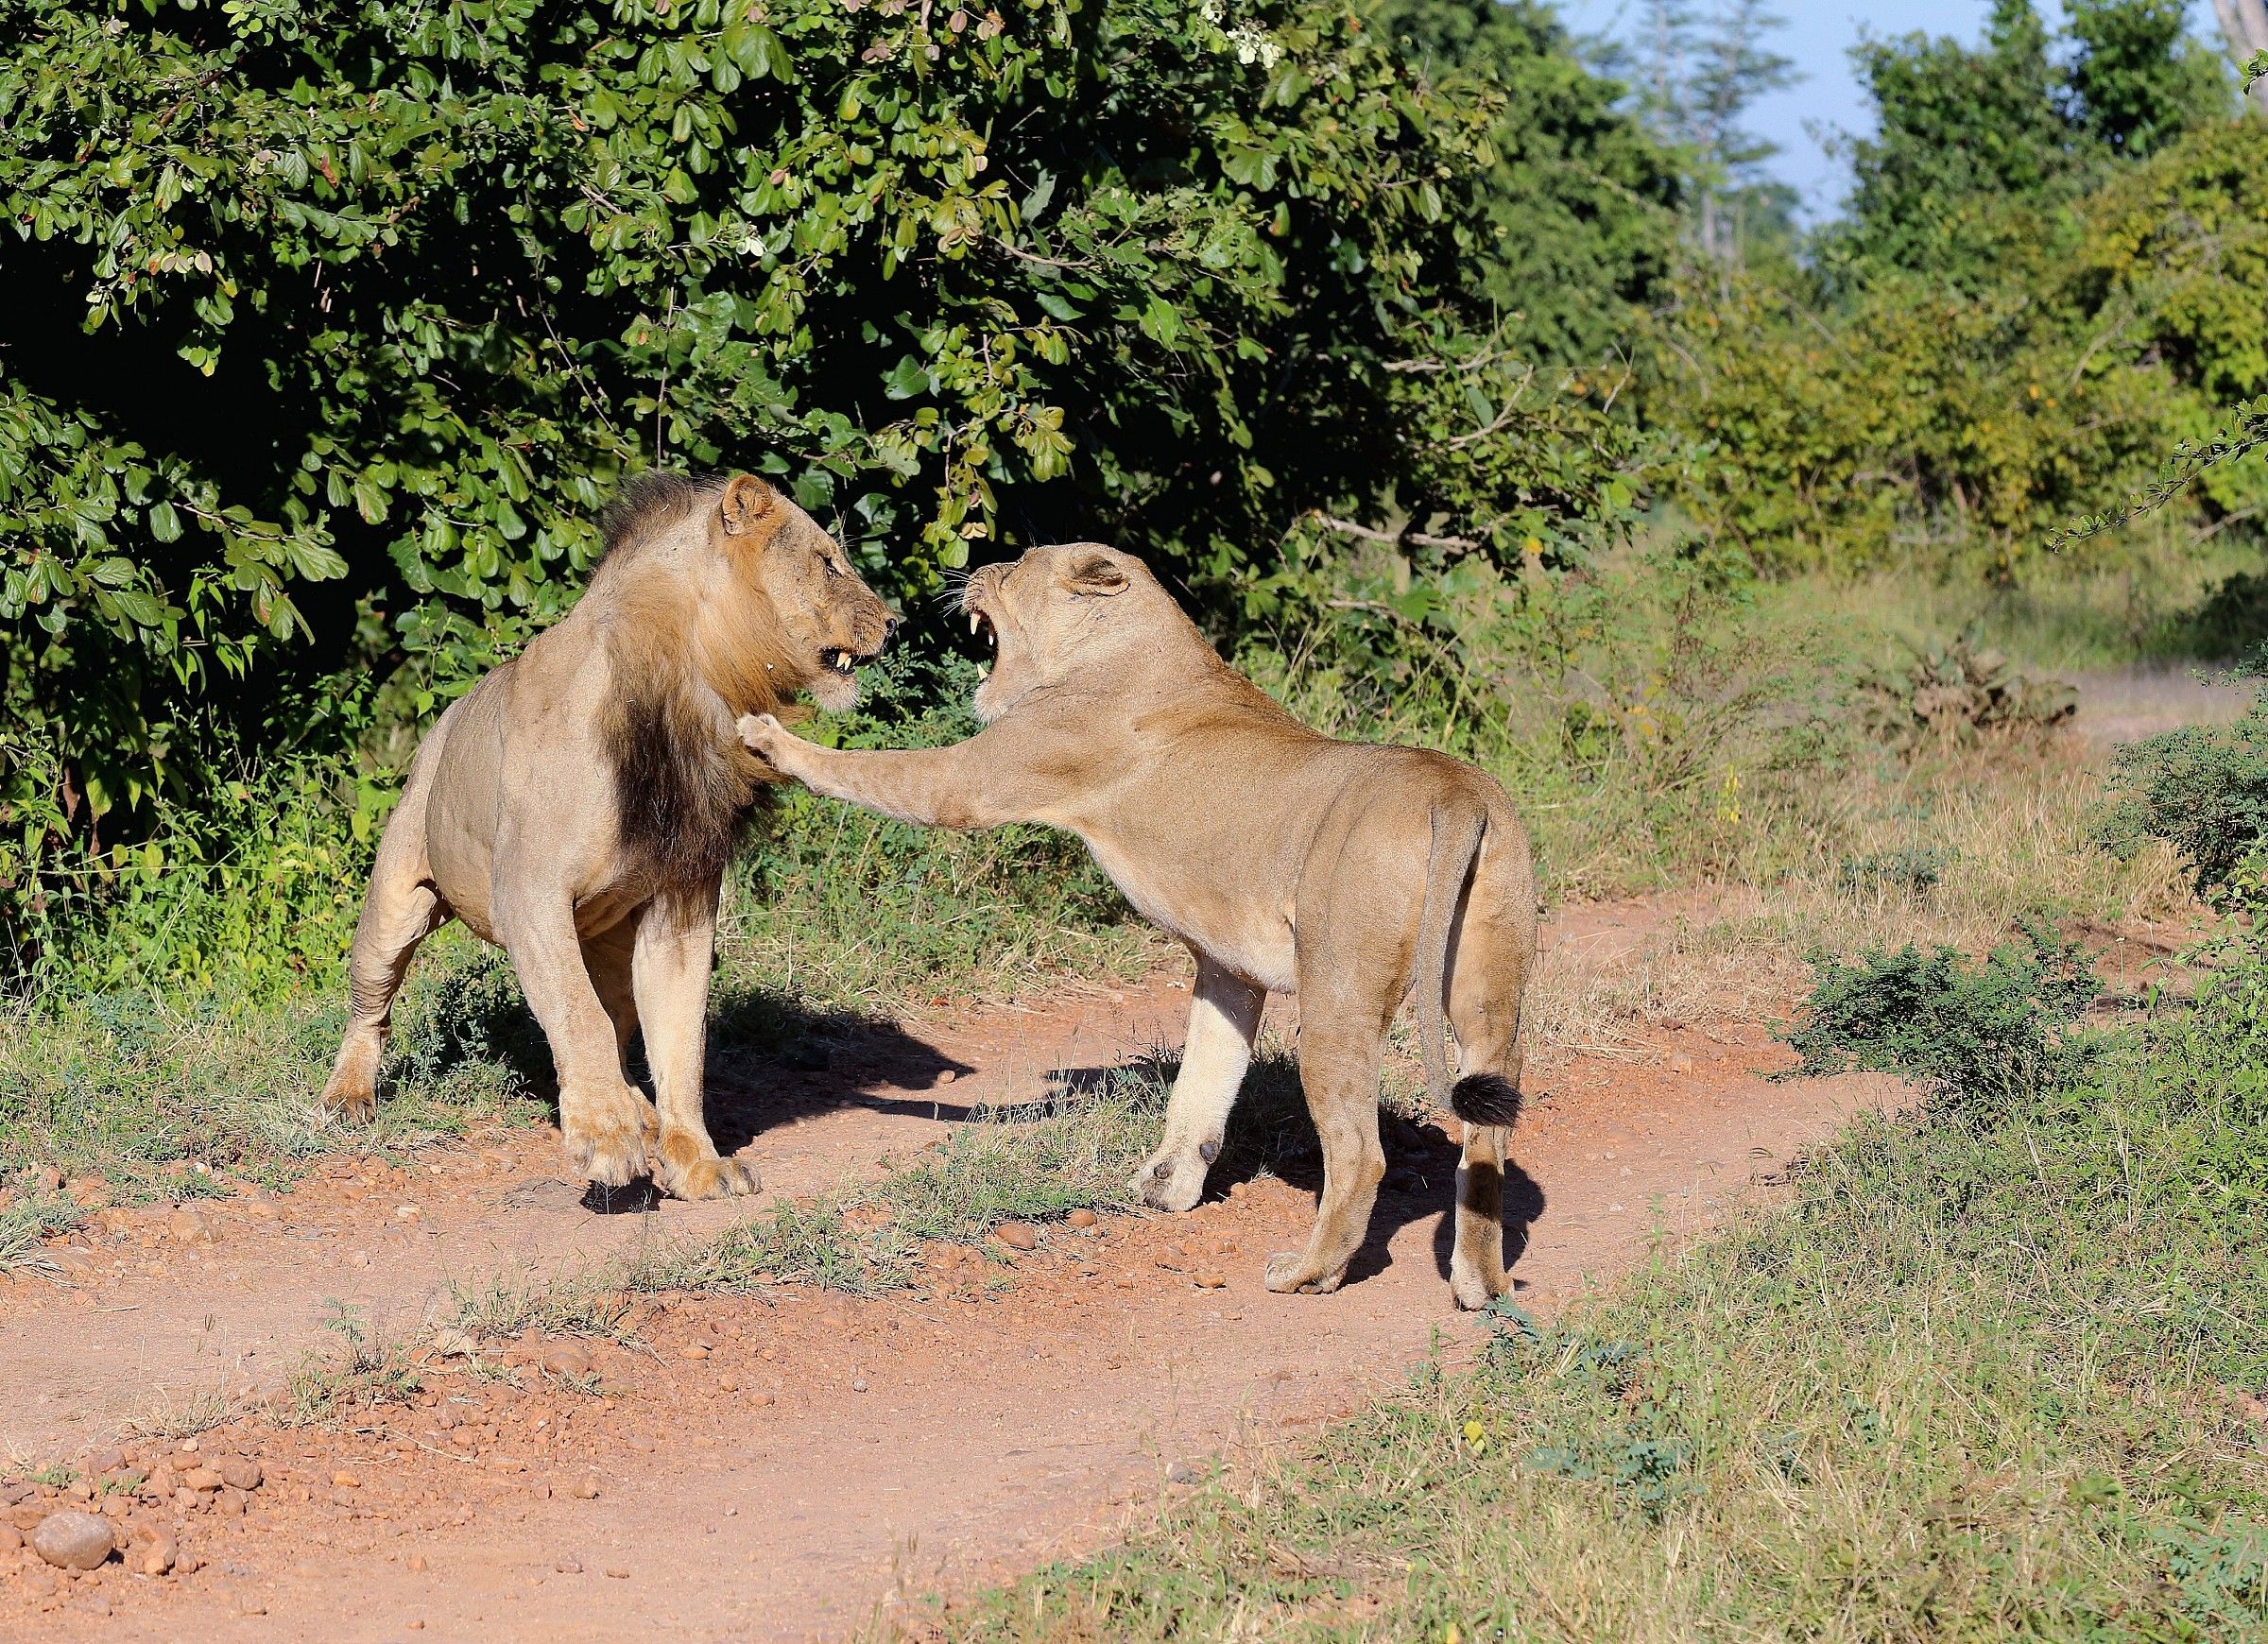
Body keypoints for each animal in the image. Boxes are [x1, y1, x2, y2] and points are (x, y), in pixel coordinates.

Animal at [319, 472, 894, 1199]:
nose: (894, 623)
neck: (692, 685)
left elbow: (680, 1040)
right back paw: (348, 1096)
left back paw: (640, 1110)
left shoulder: (681, 903)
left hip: (605, 938)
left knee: (621, 1018)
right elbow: (578, 1015)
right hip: (397, 901)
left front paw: (695, 1161)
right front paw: (606, 1139)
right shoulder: (529, 892)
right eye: (828, 563)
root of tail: (443, 724)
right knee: (373, 1004)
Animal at [738, 542, 1534, 1305]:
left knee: (1361, 1153)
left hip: (1338, 989)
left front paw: (769, 737)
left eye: (1017, 564)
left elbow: (874, 770)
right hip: (1489, 990)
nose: (970, 568)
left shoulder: (978, 778)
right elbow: (1205, 1080)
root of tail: (1455, 790)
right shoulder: (1230, 969)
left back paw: (1309, 1274)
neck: (1131, 642)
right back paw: (1479, 1287)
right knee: (1488, 1138)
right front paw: (1167, 1186)